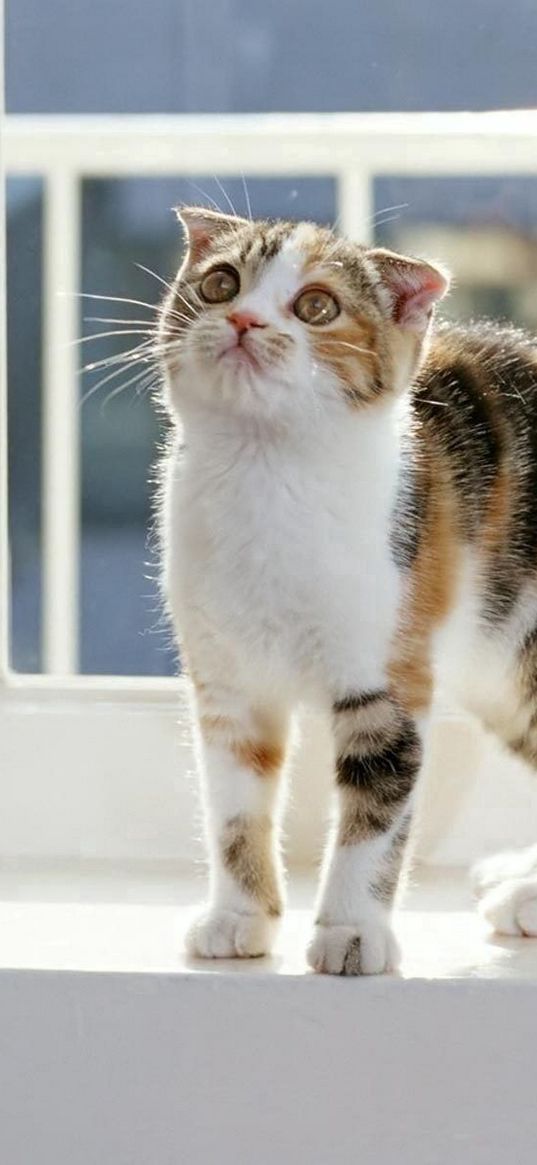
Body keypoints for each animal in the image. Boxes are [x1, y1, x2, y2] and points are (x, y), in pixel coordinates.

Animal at [157, 207, 535, 973]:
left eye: (315, 306)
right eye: (219, 283)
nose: (242, 319)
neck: (265, 473)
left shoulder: (387, 675)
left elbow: (377, 809)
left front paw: (351, 932)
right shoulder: (228, 686)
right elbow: (233, 807)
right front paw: (238, 918)